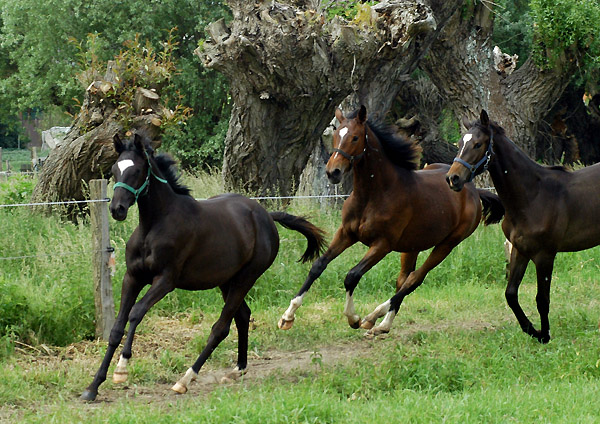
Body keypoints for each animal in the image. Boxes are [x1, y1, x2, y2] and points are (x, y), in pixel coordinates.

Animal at [80, 132, 326, 400]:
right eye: (115, 169)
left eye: (136, 170)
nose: (117, 209)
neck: (154, 225)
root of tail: (266, 216)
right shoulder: (132, 277)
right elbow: (116, 327)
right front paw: (93, 387)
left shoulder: (165, 280)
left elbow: (136, 314)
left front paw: (121, 370)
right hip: (227, 281)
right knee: (242, 316)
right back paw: (238, 369)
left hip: (246, 278)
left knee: (221, 327)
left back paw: (185, 379)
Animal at [278, 105, 504, 334]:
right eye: (335, 135)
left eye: (355, 137)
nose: (333, 172)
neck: (373, 194)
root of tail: (472, 190)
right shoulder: (346, 233)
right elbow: (318, 265)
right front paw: (287, 316)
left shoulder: (382, 245)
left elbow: (352, 275)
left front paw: (353, 318)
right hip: (412, 246)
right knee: (403, 279)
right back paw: (381, 322)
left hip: (447, 244)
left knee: (414, 280)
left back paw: (376, 319)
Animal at [446, 108, 600, 342]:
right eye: (460, 143)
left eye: (478, 144)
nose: (452, 178)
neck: (532, 196)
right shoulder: (520, 250)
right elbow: (511, 294)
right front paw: (531, 330)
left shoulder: (545, 255)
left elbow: (542, 299)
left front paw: (544, 335)